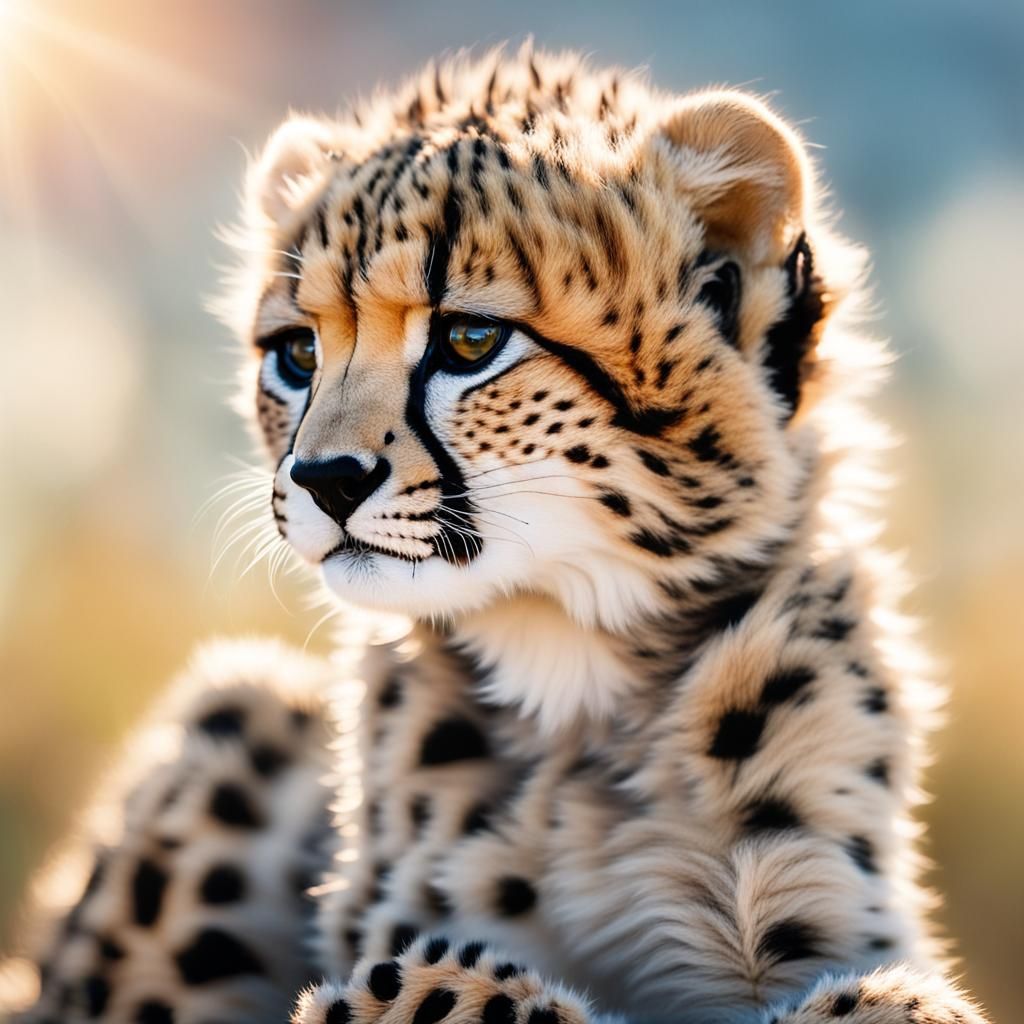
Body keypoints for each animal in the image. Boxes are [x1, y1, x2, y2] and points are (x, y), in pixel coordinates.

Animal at [11, 46, 991, 1024]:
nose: (326, 478)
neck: (573, 663)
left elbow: (883, 995)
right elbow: (466, 987)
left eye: (471, 340)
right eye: (297, 354)